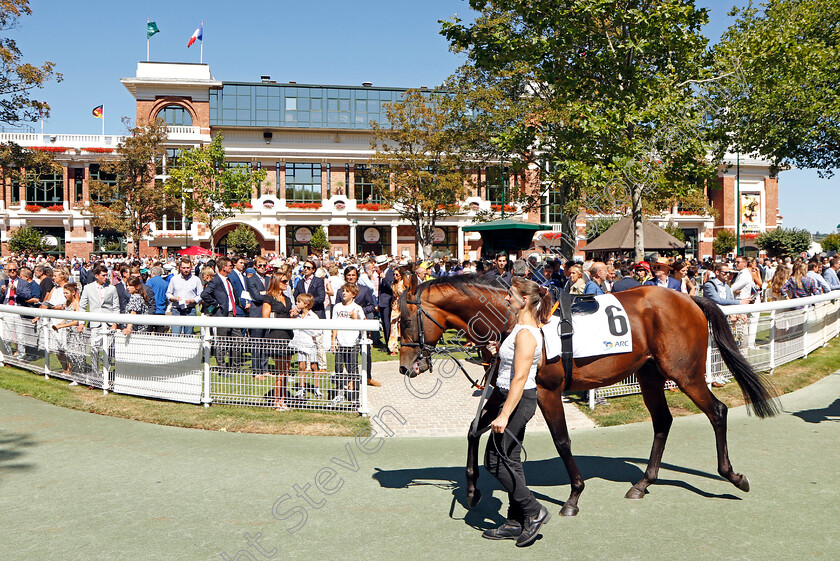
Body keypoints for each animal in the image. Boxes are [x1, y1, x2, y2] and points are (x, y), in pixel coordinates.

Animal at [398, 274, 776, 516]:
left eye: (404, 321)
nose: (405, 367)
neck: (515, 319)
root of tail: (689, 298)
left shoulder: (547, 391)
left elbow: (562, 441)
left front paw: (573, 497)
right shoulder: (506, 389)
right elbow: (474, 431)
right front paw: (474, 489)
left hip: (686, 373)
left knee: (717, 412)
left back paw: (732, 475)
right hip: (650, 374)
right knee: (663, 421)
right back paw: (643, 483)